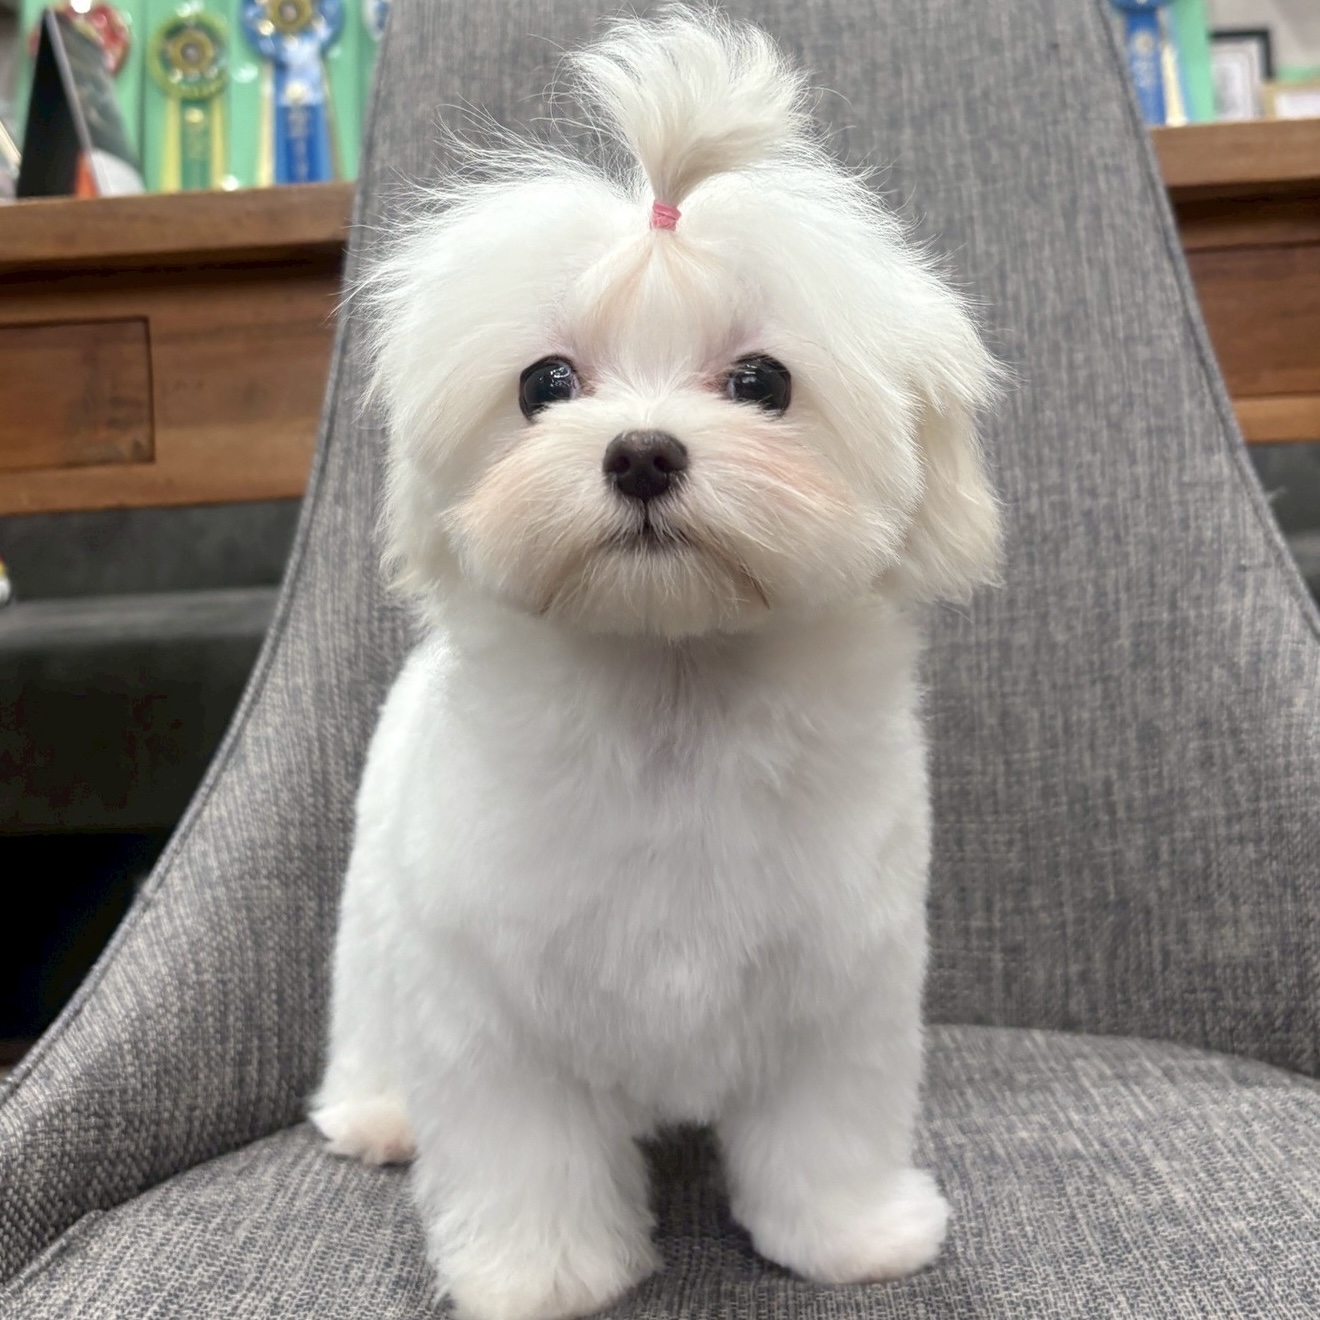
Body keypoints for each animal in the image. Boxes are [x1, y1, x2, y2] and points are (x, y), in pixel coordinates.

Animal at [311, 10, 1000, 1320]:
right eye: (545, 385)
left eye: (762, 383)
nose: (640, 452)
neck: (673, 691)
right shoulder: (494, 1006)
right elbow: (523, 1145)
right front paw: (540, 1272)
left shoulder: (838, 984)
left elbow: (829, 1126)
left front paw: (851, 1236)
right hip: (381, 905)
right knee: (372, 1005)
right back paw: (377, 1113)